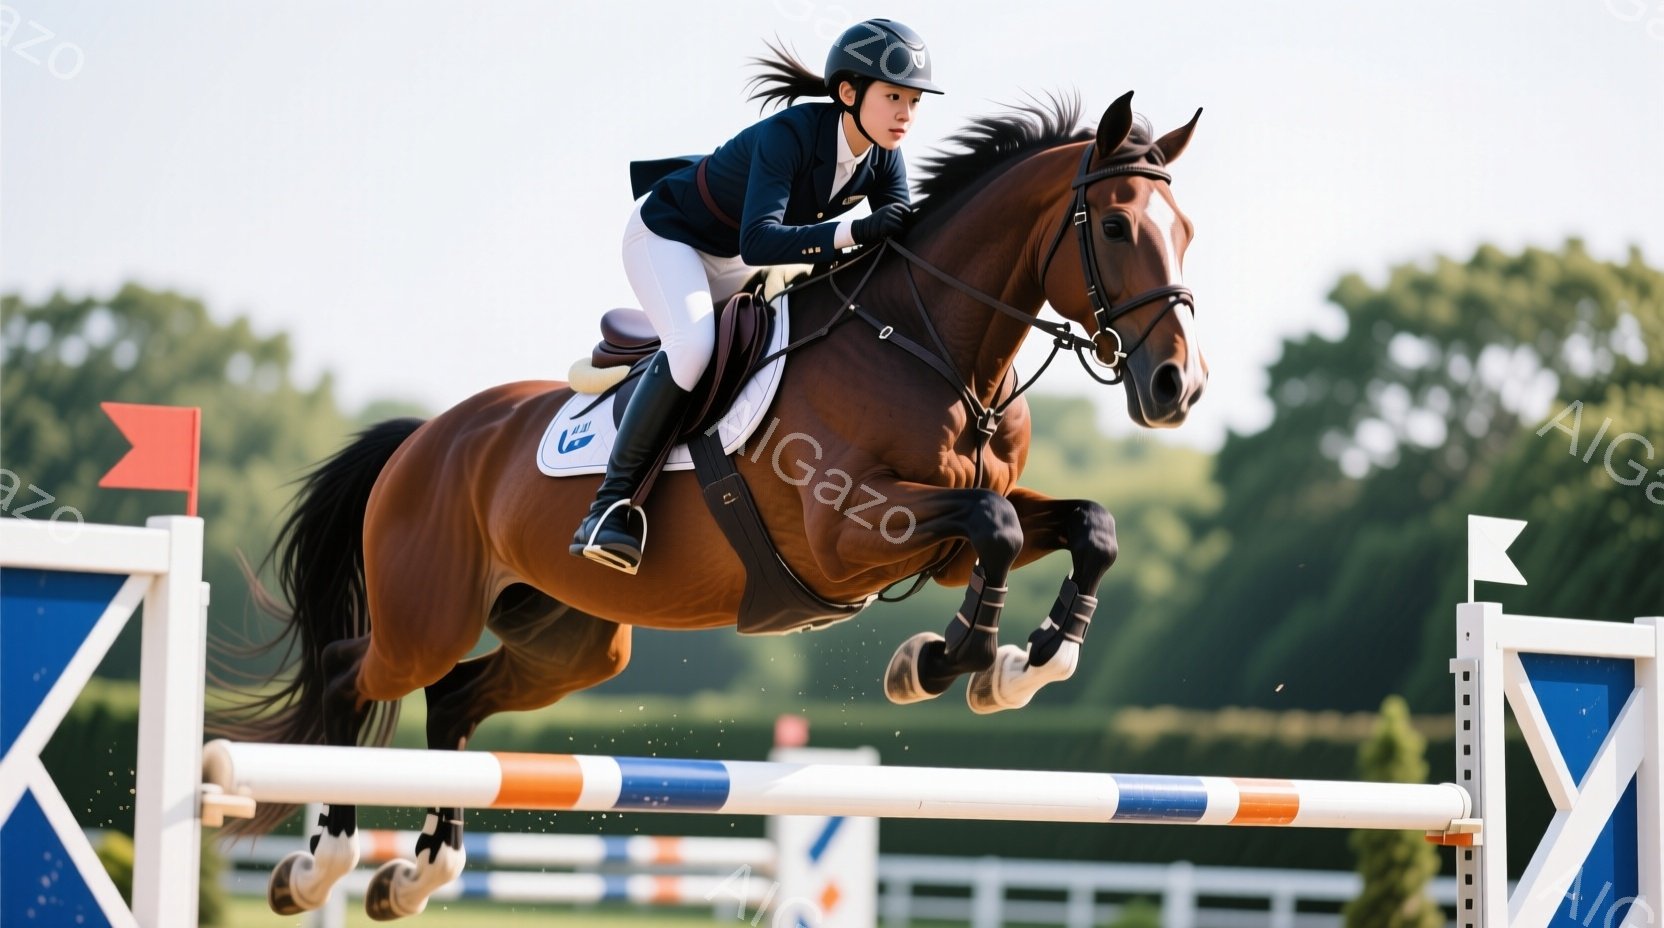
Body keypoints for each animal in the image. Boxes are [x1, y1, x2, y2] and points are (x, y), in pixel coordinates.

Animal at [213, 90, 1207, 920]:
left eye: (1188, 230)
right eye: (1116, 226)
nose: (1177, 388)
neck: (929, 346)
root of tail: (427, 436)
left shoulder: (947, 536)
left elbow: (1087, 526)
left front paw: (1025, 666)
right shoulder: (853, 531)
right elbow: (995, 530)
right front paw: (938, 663)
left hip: (574, 640)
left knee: (455, 703)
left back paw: (416, 875)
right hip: (431, 614)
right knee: (349, 673)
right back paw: (323, 866)